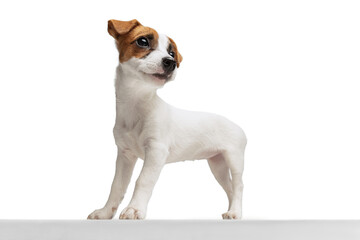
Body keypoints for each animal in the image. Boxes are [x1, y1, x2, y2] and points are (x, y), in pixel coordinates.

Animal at [86, 19, 248, 220]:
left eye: (172, 53)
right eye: (142, 41)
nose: (171, 63)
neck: (137, 104)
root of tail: (238, 127)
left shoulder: (156, 150)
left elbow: (143, 180)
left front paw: (134, 209)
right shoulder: (125, 155)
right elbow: (116, 186)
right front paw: (105, 212)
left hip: (234, 159)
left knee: (238, 185)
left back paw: (235, 212)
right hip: (217, 165)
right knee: (230, 188)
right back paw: (233, 211)